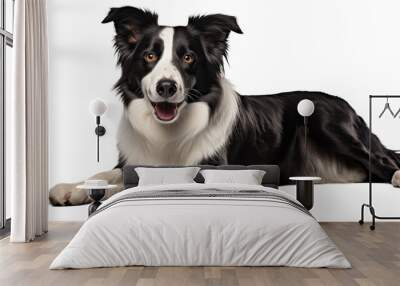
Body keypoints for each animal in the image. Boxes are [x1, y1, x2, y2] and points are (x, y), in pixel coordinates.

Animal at [50, 6, 400, 206]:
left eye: (188, 57)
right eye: (149, 55)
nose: (167, 87)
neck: (170, 132)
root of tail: (351, 108)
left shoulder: (212, 167)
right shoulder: (135, 159)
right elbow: (108, 173)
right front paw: (72, 187)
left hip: (328, 122)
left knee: (383, 161)